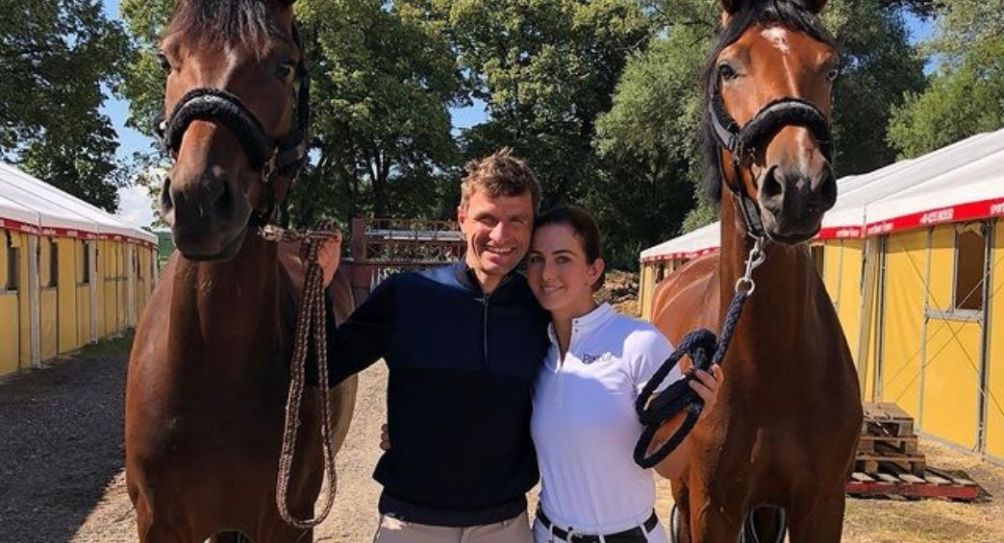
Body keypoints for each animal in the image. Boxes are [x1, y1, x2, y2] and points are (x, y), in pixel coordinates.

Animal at [650, 0, 863, 537]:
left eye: (830, 67)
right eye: (728, 69)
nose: (798, 186)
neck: (774, 368)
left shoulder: (822, 505)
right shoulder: (713, 507)